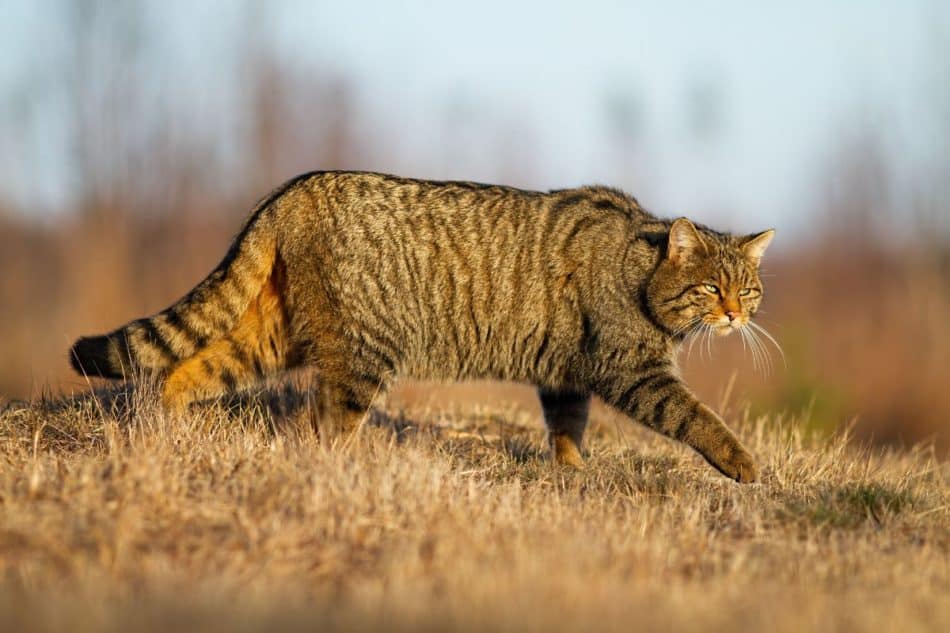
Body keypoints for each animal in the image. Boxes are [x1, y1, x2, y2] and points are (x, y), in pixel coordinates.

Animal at [72, 170, 772, 482]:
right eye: (711, 288)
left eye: (748, 289)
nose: (735, 315)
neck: (638, 267)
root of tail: (291, 189)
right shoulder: (632, 371)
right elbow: (695, 416)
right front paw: (742, 462)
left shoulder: (565, 373)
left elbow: (568, 428)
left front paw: (571, 473)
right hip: (362, 355)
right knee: (328, 425)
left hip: (271, 337)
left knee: (188, 367)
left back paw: (165, 427)